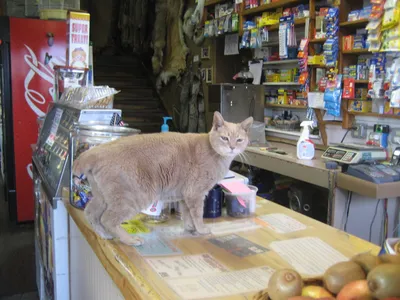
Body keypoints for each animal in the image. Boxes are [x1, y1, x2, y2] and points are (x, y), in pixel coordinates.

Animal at [73, 112, 252, 246]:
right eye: (224, 138)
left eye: (239, 139)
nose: (232, 147)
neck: (215, 153)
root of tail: (96, 151)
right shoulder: (195, 194)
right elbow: (197, 214)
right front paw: (201, 229)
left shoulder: (185, 196)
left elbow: (187, 214)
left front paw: (190, 228)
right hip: (133, 198)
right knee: (108, 219)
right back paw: (130, 240)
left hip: (102, 197)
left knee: (91, 213)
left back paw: (104, 235)